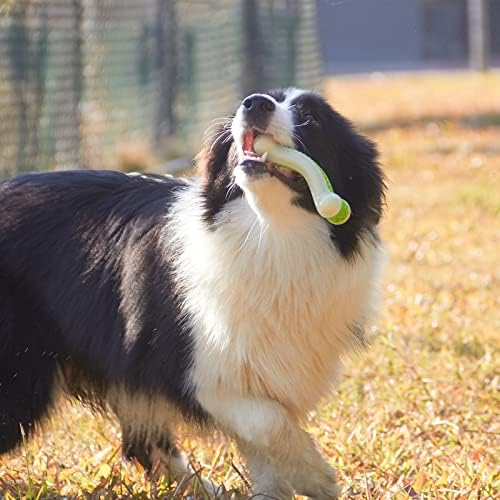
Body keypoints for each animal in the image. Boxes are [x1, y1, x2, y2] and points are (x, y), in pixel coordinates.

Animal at [0, 88, 384, 498]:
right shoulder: (189, 363)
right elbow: (267, 421)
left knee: (142, 444)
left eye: (311, 118)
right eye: (265, 101)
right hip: (24, 374)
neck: (270, 234)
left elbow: (264, 444)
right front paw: (316, 476)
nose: (255, 103)